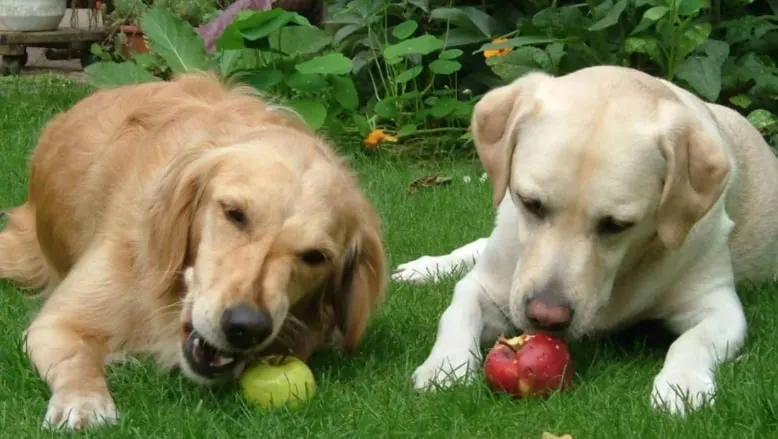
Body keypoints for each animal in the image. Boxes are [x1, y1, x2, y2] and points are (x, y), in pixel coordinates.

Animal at [0, 74, 388, 432]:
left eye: (315, 256)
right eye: (234, 214)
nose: (246, 328)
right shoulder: (56, 321)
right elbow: (75, 358)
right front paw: (84, 400)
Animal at [392, 66, 776, 420]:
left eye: (616, 225)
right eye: (531, 203)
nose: (546, 317)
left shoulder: (719, 307)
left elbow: (692, 340)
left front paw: (682, 385)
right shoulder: (485, 284)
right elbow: (458, 313)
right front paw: (445, 368)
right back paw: (425, 267)